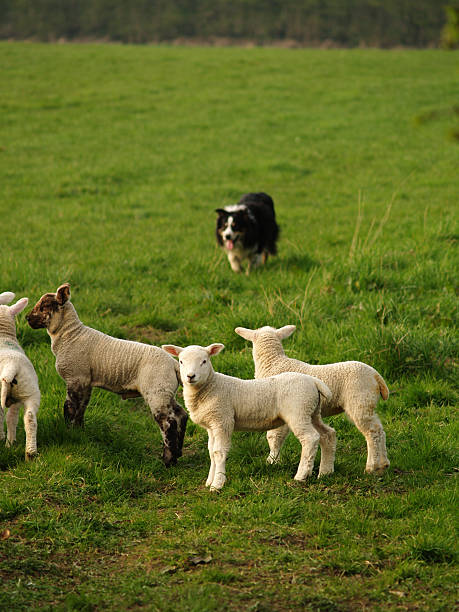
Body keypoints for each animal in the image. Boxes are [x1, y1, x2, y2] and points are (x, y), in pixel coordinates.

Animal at [26, 284, 188, 466]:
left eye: (44, 306)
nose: (27, 318)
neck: (69, 335)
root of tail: (174, 364)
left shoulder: (75, 377)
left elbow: (69, 408)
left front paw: (68, 431)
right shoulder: (85, 382)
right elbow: (81, 409)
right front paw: (78, 432)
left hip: (157, 391)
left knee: (168, 423)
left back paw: (168, 460)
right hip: (166, 391)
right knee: (181, 415)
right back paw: (178, 453)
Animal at [162, 342, 334, 490]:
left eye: (204, 361)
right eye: (181, 361)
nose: (190, 376)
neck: (211, 387)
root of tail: (313, 381)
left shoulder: (222, 419)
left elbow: (219, 452)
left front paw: (217, 484)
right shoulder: (211, 425)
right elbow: (211, 452)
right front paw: (209, 480)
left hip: (298, 411)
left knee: (310, 438)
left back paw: (301, 475)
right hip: (312, 411)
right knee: (327, 434)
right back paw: (326, 472)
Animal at [237, 326, 392, 474]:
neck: (273, 363)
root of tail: (376, 376)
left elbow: (274, 436)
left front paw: (272, 461)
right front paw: (274, 460)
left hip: (359, 401)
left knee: (372, 432)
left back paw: (371, 467)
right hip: (367, 402)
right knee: (380, 430)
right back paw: (383, 464)